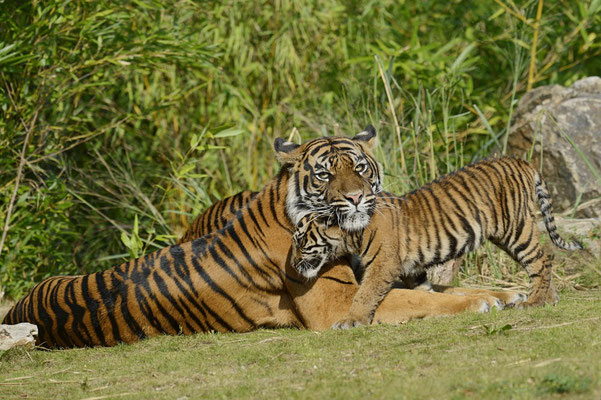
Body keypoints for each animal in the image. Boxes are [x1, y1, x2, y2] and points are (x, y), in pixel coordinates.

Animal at [3, 128, 502, 346]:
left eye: (359, 167)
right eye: (326, 175)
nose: (358, 198)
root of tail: (20, 307)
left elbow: (431, 289)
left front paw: (499, 292)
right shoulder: (334, 303)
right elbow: (416, 298)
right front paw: (487, 300)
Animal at [284, 156, 580, 328]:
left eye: (301, 240)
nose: (294, 265)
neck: (351, 233)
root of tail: (518, 160)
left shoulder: (383, 264)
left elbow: (365, 294)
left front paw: (351, 320)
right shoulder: (411, 268)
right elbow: (425, 293)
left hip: (515, 228)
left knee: (541, 259)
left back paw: (535, 301)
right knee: (542, 261)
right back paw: (550, 298)